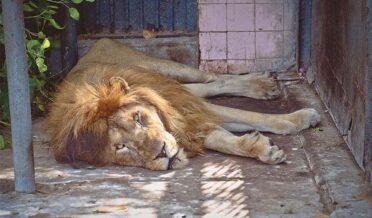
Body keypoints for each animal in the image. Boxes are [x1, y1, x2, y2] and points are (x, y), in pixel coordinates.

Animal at [46, 38, 320, 170]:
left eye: (138, 118)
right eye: (121, 147)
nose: (162, 153)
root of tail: (90, 51)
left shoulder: (190, 109)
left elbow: (254, 117)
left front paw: (300, 118)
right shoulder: (189, 120)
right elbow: (225, 141)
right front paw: (263, 149)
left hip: (164, 68)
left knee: (212, 77)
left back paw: (261, 83)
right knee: (207, 86)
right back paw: (262, 85)